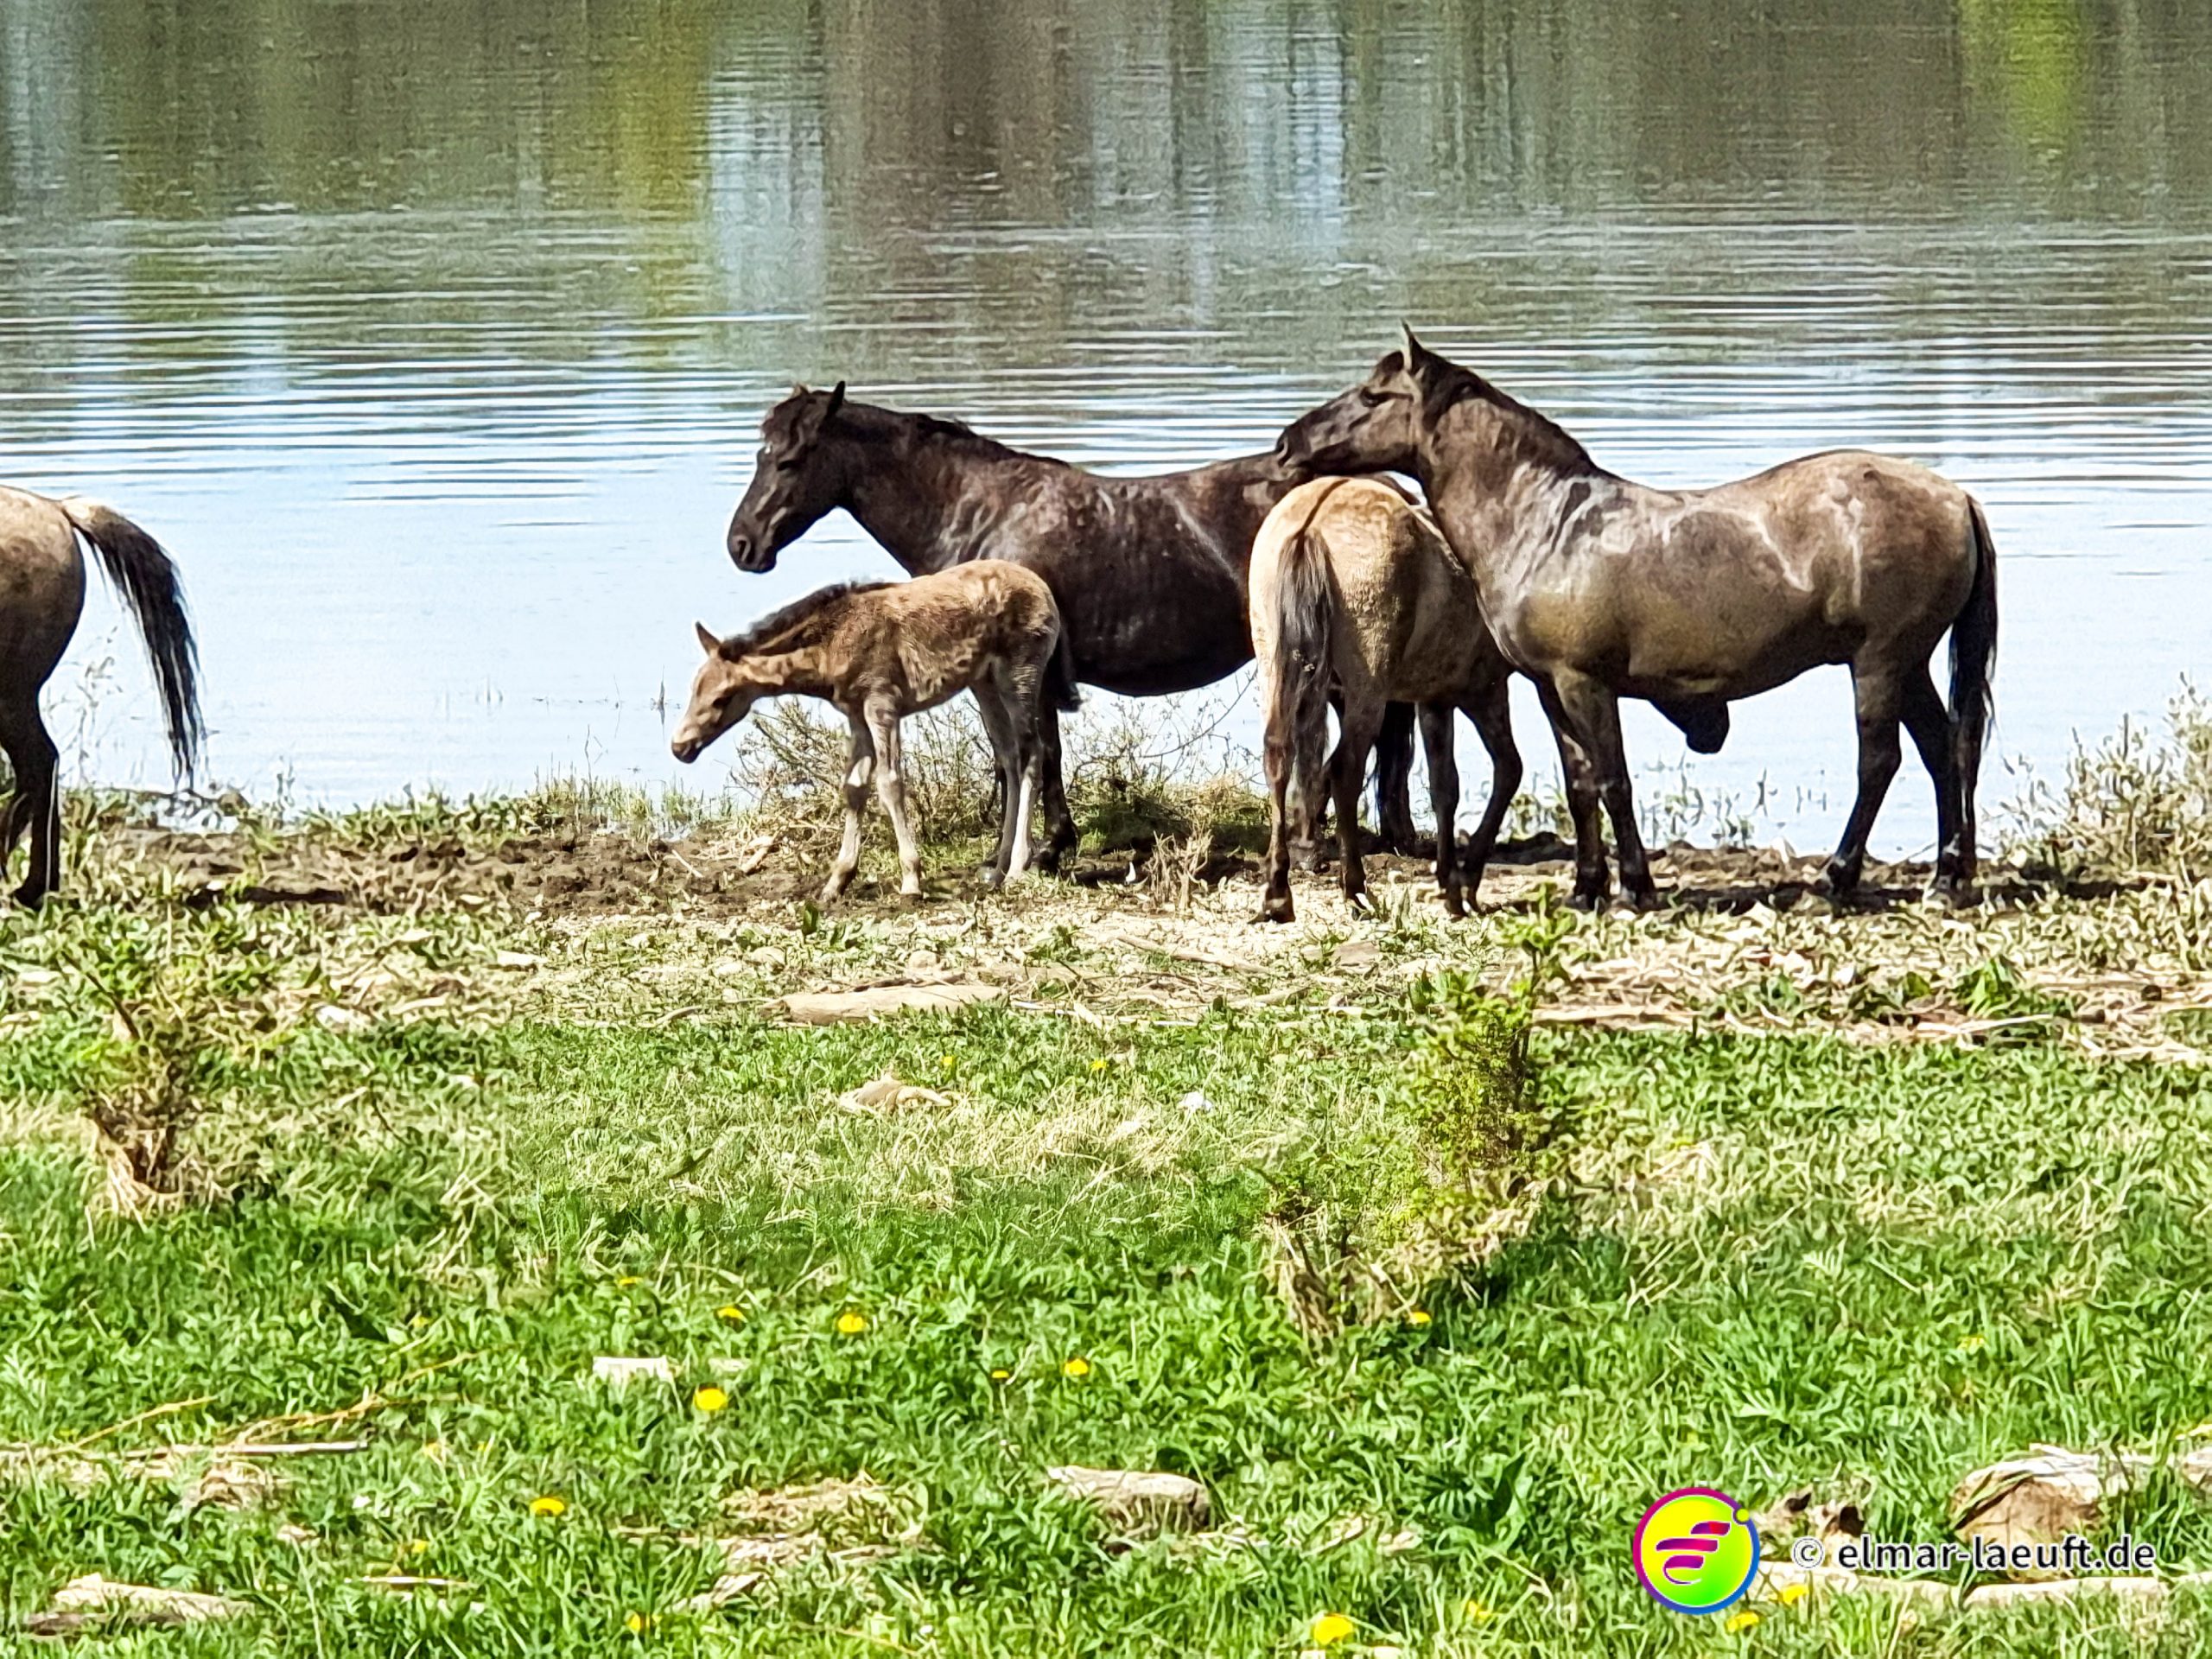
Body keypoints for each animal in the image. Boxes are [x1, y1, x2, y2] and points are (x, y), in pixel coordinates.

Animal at [671, 561, 1072, 903]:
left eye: (723, 698)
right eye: (694, 687)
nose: (680, 747)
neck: (828, 650)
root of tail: (1047, 595)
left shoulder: (883, 702)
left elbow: (890, 782)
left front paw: (911, 879)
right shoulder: (855, 714)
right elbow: (854, 787)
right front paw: (837, 881)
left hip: (1020, 673)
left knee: (1032, 752)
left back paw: (1019, 865)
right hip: (983, 682)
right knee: (1009, 756)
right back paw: (998, 867)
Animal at [720, 383, 1419, 863]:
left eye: (790, 460)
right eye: (760, 454)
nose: (742, 545)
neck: (982, 512)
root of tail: (1384, 491)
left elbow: (1030, 753)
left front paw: (1038, 848)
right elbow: (1035, 752)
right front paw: (1044, 842)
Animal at [1253, 477, 1522, 923]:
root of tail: (1311, 527)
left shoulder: (1436, 700)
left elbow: (1445, 787)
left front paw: (1450, 885)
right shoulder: (1483, 691)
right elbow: (1507, 770)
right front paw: (1464, 882)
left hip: (1274, 670)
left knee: (1278, 755)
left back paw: (1277, 893)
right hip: (1368, 688)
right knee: (1344, 768)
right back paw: (1355, 889)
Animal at [1275, 329, 1997, 910]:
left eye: (1373, 395)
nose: (1288, 444)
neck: (1546, 524)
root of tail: (1956, 496)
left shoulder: (1586, 682)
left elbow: (1613, 779)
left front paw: (1633, 889)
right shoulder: (1551, 688)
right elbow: (1580, 784)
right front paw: (1586, 888)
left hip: (1879, 661)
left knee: (1880, 760)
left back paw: (1838, 880)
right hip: (1908, 664)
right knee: (1943, 751)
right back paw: (1945, 881)